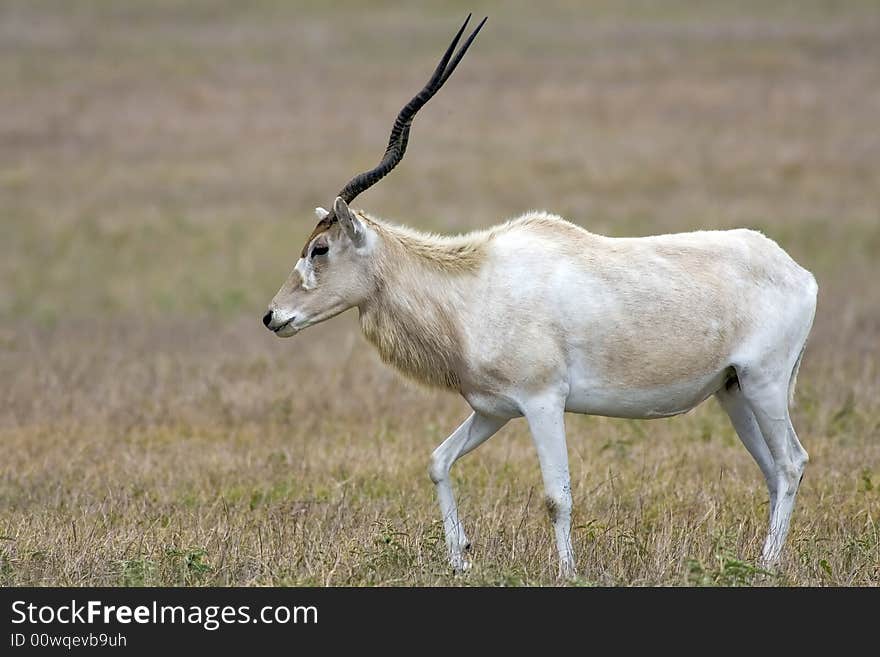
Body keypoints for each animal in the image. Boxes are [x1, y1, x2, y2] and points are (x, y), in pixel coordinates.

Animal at [262, 15, 820, 576]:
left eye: (320, 248)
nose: (272, 316)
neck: (474, 285)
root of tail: (798, 272)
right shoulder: (494, 409)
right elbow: (438, 461)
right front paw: (461, 560)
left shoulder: (543, 401)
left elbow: (557, 495)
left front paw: (568, 572)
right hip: (734, 391)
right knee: (771, 470)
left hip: (765, 382)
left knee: (791, 462)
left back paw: (768, 566)